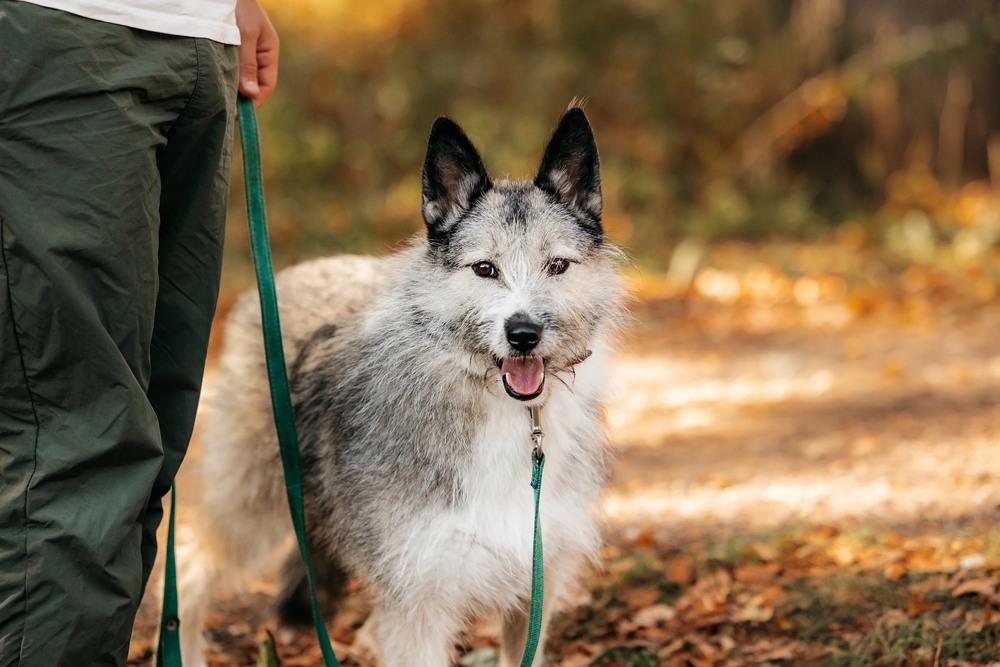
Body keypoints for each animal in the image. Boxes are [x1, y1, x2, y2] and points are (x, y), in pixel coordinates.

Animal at [175, 107, 620, 664]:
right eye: (484, 268)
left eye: (557, 265)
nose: (523, 334)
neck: (504, 415)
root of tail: (291, 276)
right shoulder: (418, 606)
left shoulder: (531, 593)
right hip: (251, 507)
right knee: (188, 572)